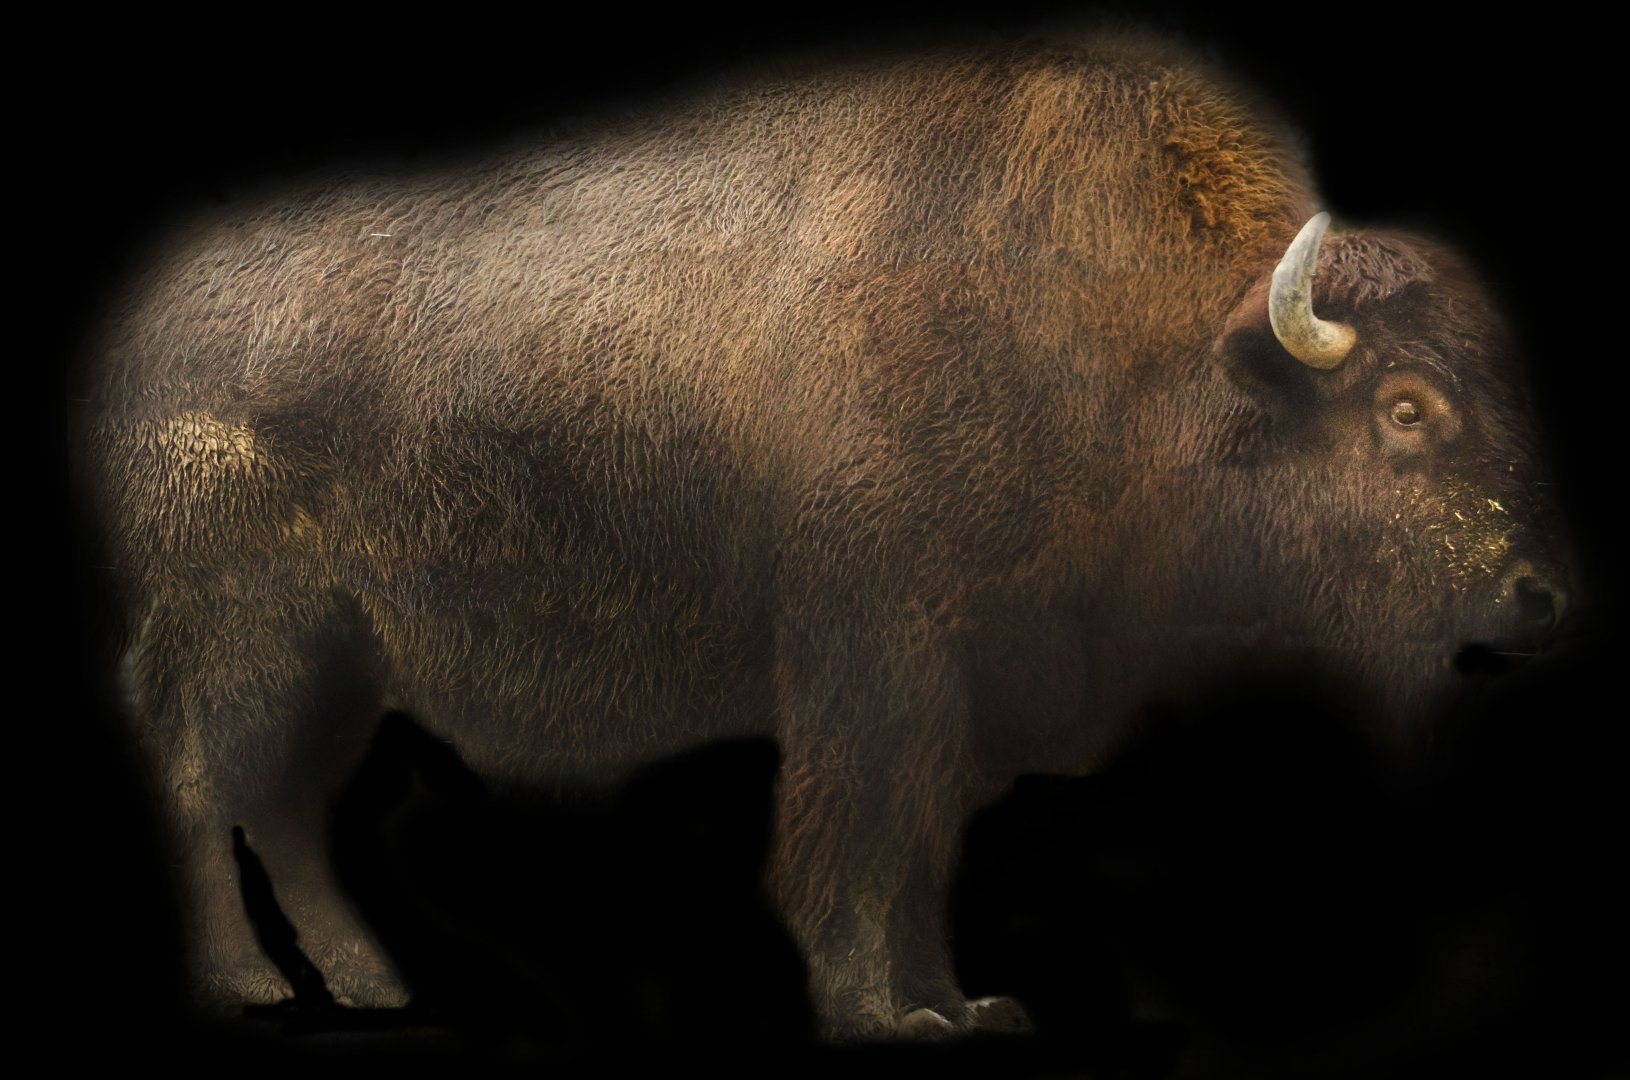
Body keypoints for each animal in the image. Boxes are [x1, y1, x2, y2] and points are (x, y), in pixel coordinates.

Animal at [76, 30, 1570, 1040]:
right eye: (1405, 407)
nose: (1540, 595)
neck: (1137, 344)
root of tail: (146, 340)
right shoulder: (875, 653)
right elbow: (859, 839)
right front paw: (880, 1013)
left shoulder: (971, 676)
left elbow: (921, 852)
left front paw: (962, 1004)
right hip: (250, 639)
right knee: (209, 790)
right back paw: (247, 983)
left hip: (345, 660)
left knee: (285, 811)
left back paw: (373, 982)